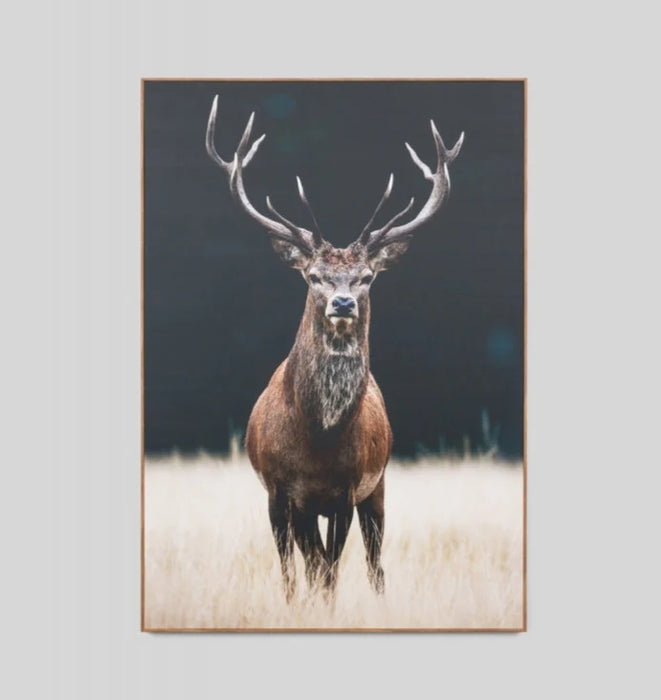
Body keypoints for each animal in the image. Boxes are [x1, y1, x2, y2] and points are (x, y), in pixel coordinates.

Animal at [205, 94, 464, 599]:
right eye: (313, 276)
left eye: (366, 277)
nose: (343, 302)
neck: (318, 442)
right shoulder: (280, 491)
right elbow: (298, 571)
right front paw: (295, 606)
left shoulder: (347, 489)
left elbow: (331, 572)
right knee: (306, 563)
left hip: (378, 487)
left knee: (373, 563)